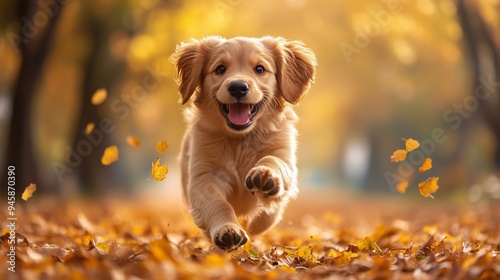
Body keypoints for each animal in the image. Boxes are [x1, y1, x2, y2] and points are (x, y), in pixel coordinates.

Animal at [170, 35, 314, 252]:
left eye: (260, 69)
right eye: (220, 69)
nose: (238, 87)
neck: (240, 139)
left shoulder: (285, 159)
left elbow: (274, 163)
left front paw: (265, 175)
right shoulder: (203, 177)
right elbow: (218, 203)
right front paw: (227, 230)